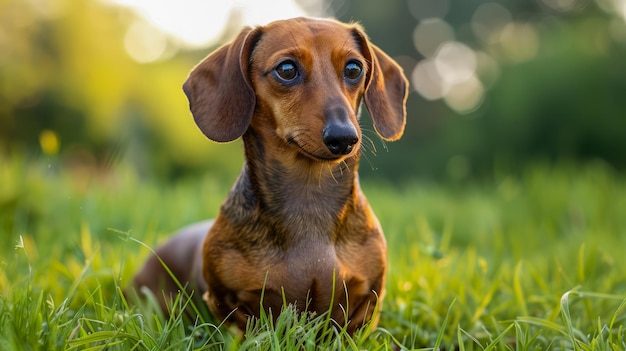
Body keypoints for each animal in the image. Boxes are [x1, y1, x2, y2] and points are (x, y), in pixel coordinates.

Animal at [129, 16, 408, 336]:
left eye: (353, 69)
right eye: (286, 69)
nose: (344, 137)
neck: (308, 198)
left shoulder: (368, 302)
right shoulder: (225, 301)